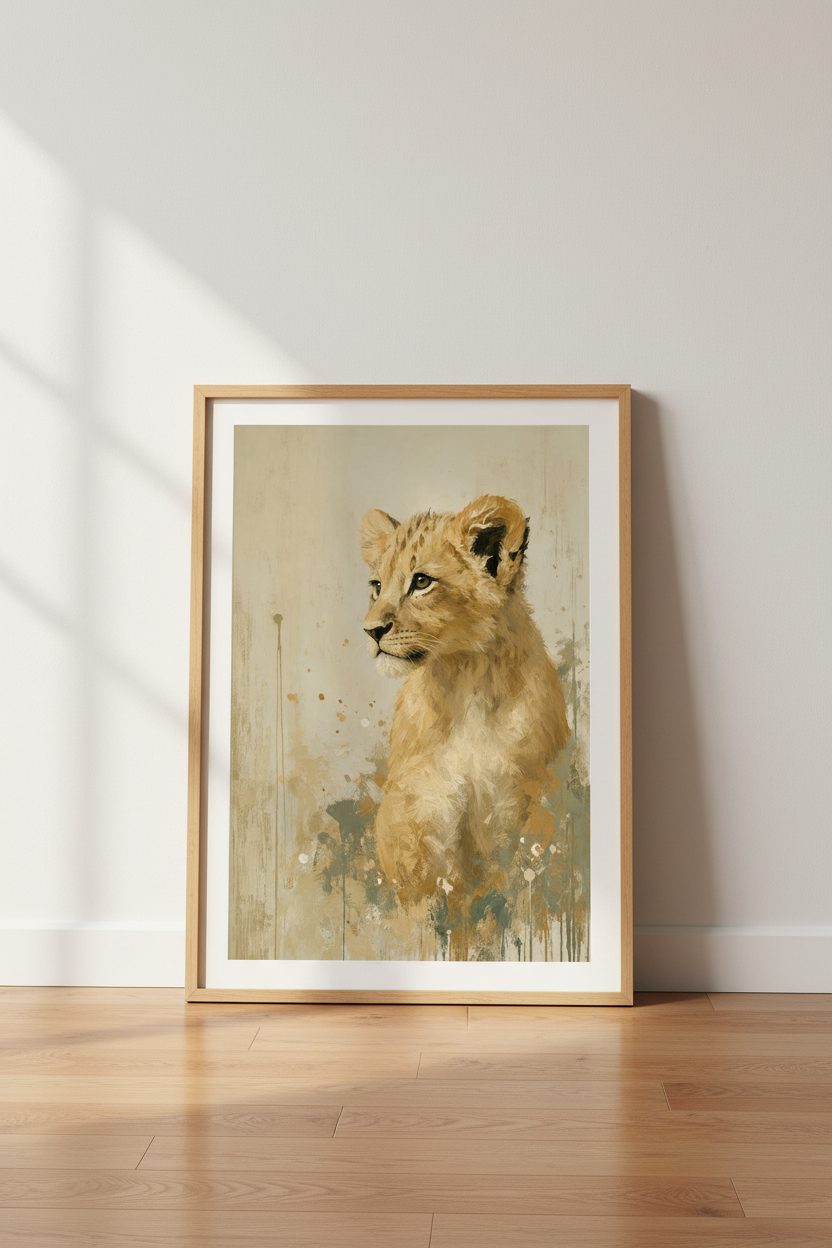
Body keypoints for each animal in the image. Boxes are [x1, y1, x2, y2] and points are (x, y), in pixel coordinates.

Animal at [358, 494, 569, 911]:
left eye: (421, 581)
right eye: (376, 586)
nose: (371, 631)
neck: (466, 681)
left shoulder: (519, 802)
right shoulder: (416, 810)